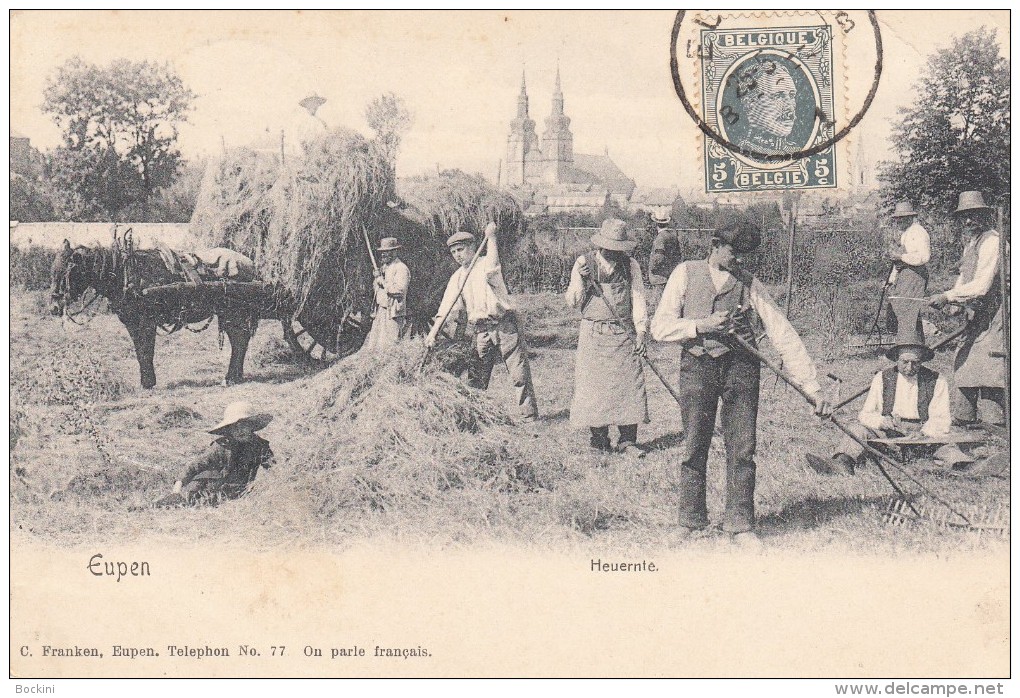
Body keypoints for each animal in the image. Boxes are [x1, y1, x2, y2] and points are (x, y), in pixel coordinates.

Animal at [49, 238, 293, 389]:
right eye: (53, 272)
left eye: (66, 274)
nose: (53, 308)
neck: (125, 274)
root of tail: (249, 263)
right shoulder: (132, 323)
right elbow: (139, 352)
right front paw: (145, 381)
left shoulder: (146, 322)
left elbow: (147, 351)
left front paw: (148, 382)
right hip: (231, 313)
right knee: (239, 341)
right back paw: (235, 376)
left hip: (236, 313)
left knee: (240, 342)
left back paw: (231, 377)